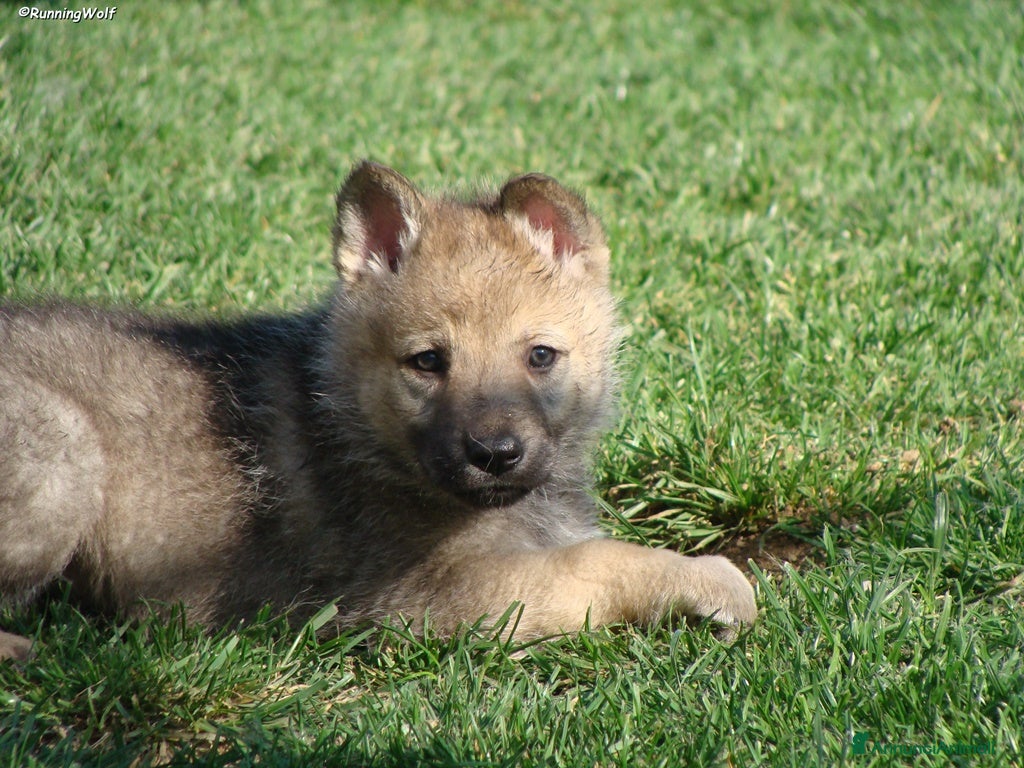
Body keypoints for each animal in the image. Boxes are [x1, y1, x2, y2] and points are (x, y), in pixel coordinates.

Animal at [0, 162, 756, 660]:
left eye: (541, 356)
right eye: (427, 362)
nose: (494, 456)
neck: (361, 430)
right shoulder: (417, 598)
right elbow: (592, 563)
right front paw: (710, 580)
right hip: (64, 452)